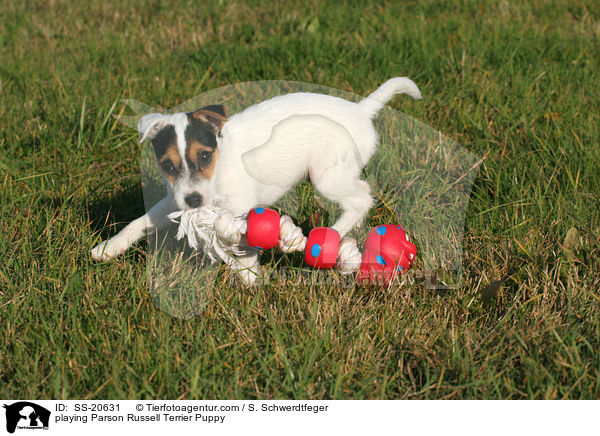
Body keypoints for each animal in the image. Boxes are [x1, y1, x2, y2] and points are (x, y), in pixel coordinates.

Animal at [92, 77, 422, 284]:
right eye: (168, 166)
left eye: (204, 157)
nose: (195, 201)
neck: (219, 169)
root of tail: (361, 109)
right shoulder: (175, 198)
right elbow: (140, 222)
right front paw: (109, 247)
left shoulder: (237, 209)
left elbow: (241, 243)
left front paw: (248, 278)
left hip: (325, 175)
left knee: (361, 198)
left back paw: (332, 235)